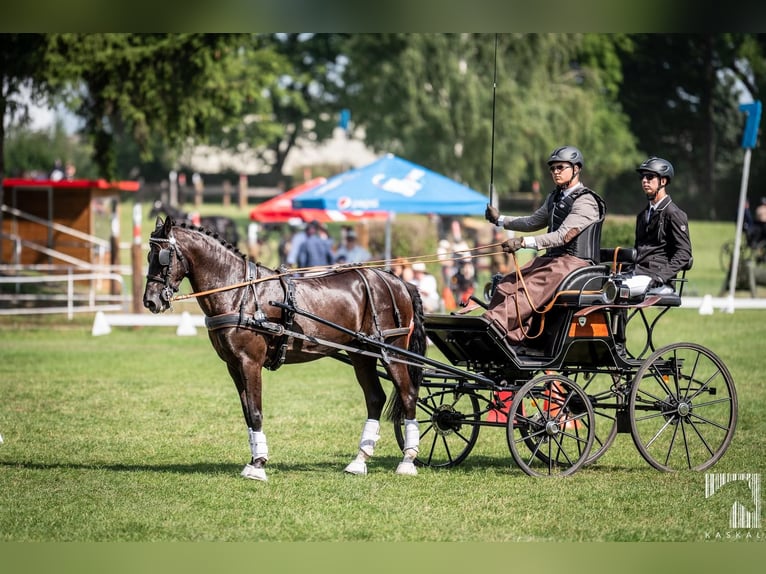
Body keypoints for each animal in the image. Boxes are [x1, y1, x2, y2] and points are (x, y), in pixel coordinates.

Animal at [142, 217, 426, 481]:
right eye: (148, 255)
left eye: (163, 257)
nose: (150, 301)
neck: (240, 293)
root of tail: (397, 281)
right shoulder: (233, 365)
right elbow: (247, 414)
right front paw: (254, 460)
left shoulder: (250, 362)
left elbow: (256, 412)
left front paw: (258, 466)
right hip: (361, 353)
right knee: (375, 398)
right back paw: (359, 461)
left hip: (392, 351)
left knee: (408, 395)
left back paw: (408, 461)